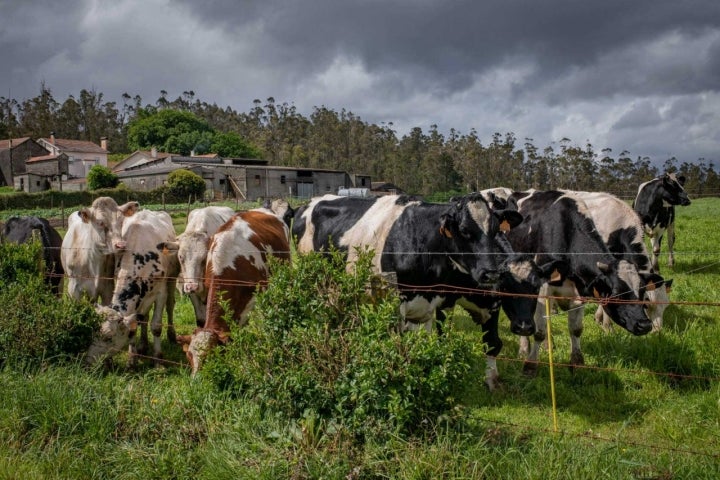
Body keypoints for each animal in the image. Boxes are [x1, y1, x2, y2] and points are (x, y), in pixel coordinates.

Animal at [292, 193, 524, 388]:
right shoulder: (396, 301)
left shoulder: (442, 300)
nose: (491, 273)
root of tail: (310, 202)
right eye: (465, 231)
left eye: (496, 230)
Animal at [504, 189, 656, 374]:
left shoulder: (581, 289)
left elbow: (576, 329)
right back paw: (524, 348)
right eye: (617, 294)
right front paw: (530, 365)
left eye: (642, 293)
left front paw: (577, 362)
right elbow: (539, 330)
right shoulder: (542, 288)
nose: (645, 325)